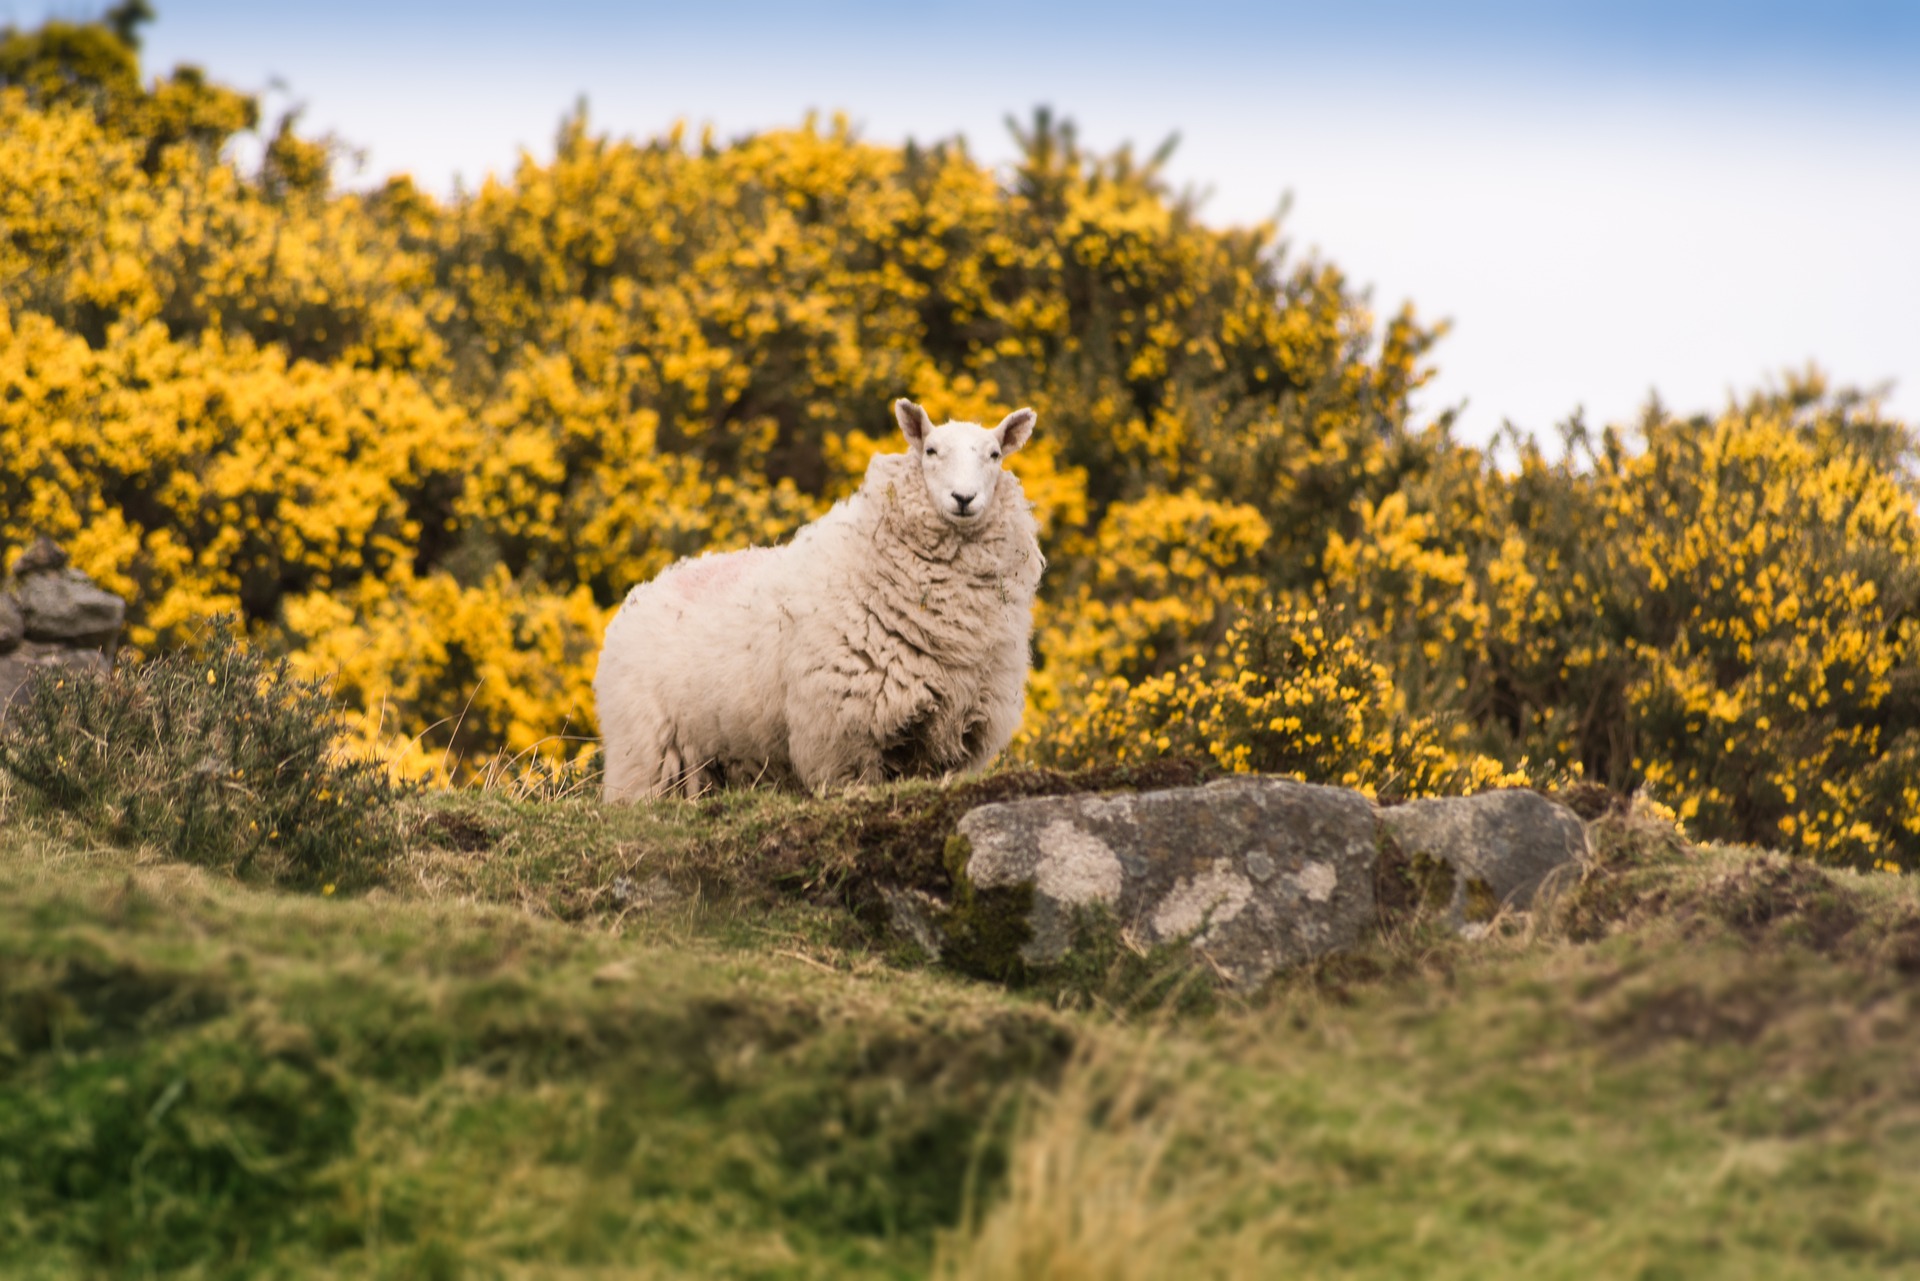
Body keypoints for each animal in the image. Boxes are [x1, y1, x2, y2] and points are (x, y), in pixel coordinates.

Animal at [599, 401, 1052, 802]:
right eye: (931, 451)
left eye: (994, 454)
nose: (963, 498)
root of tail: (645, 588)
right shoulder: (841, 731)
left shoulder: (956, 732)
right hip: (643, 752)